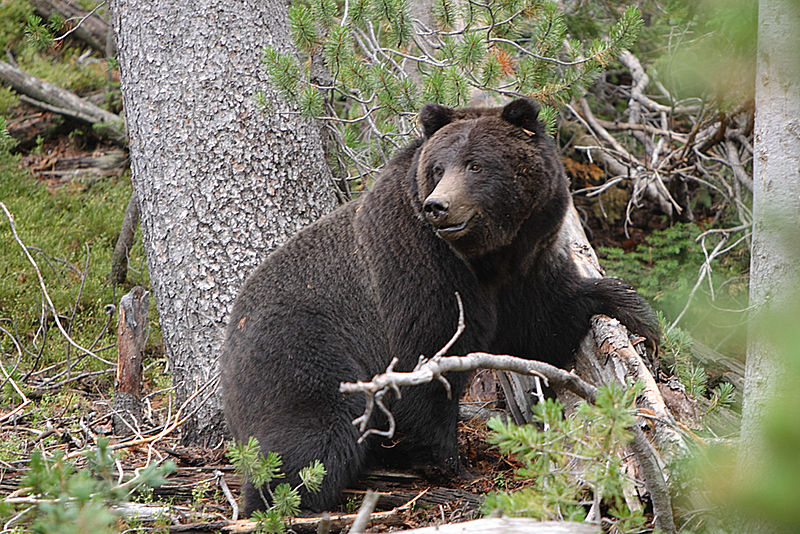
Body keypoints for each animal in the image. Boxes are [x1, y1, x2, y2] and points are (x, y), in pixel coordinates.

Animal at [219, 98, 656, 516]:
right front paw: (450, 463)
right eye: (438, 167)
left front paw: (632, 306)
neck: (487, 258)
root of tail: (227, 344)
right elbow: (428, 360)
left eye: (476, 164)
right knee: (315, 434)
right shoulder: (421, 266)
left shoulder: (528, 264)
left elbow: (545, 324)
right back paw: (279, 501)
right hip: (300, 349)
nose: (438, 206)